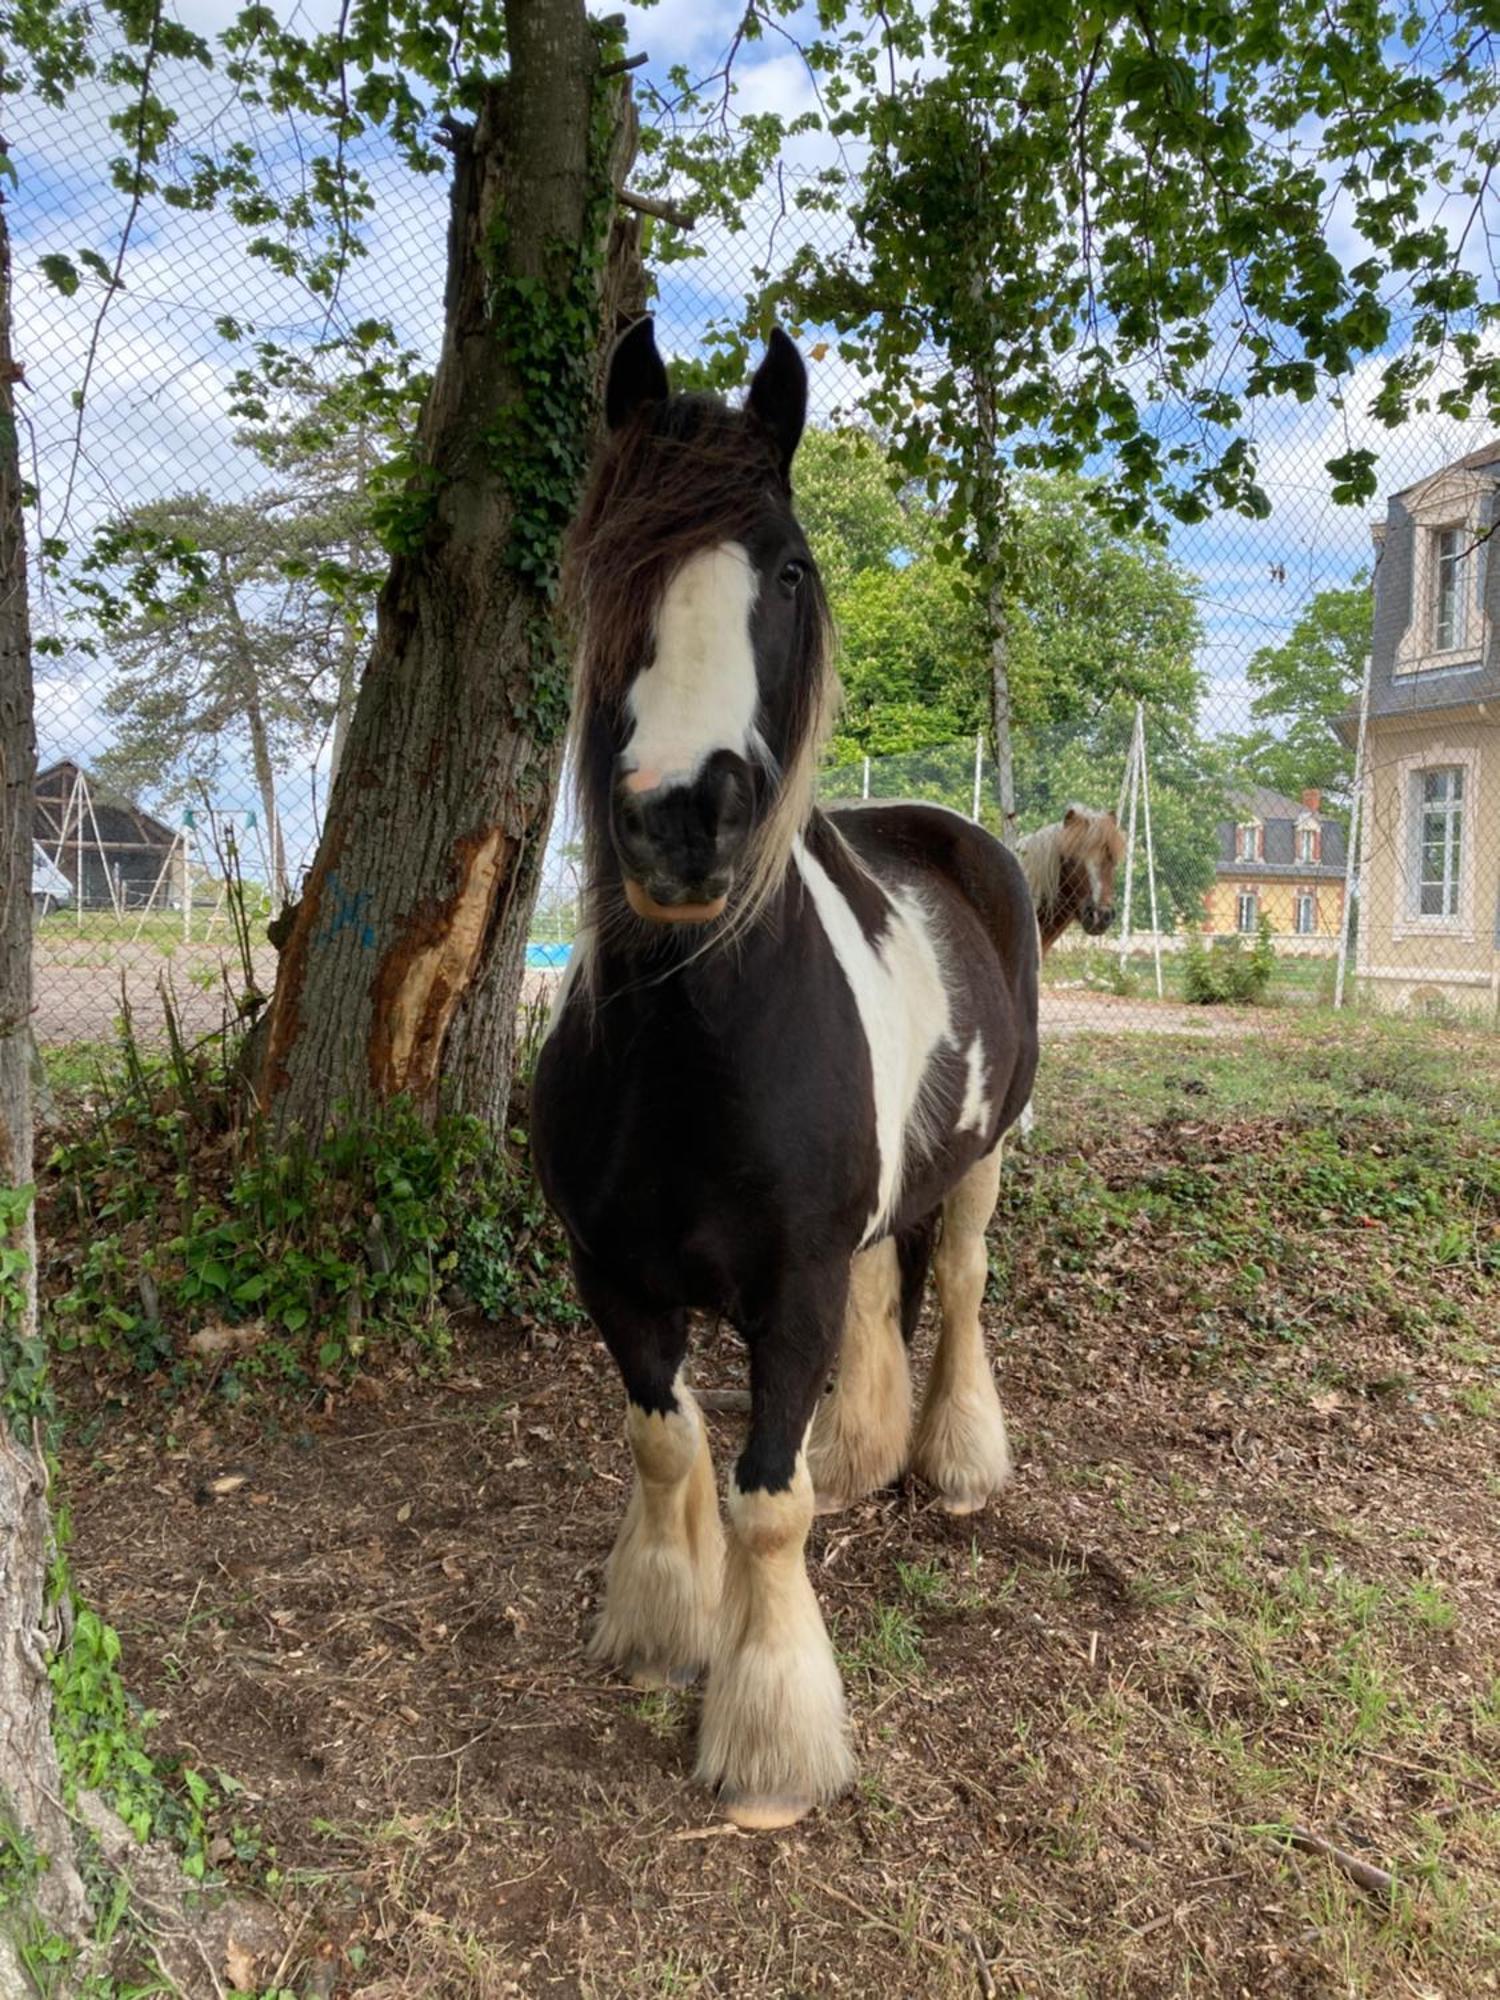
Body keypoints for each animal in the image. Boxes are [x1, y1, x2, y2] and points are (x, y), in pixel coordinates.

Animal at [536, 320, 1040, 1832]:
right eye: (608, 557)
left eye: (794, 569)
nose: (681, 817)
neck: (693, 1051)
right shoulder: (614, 1275)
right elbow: (668, 1445)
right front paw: (661, 1628)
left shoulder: (791, 1288)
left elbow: (766, 1499)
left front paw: (769, 1745)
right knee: (890, 1288)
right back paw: (868, 1451)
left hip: (990, 1152)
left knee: (965, 1285)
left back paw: (952, 1464)